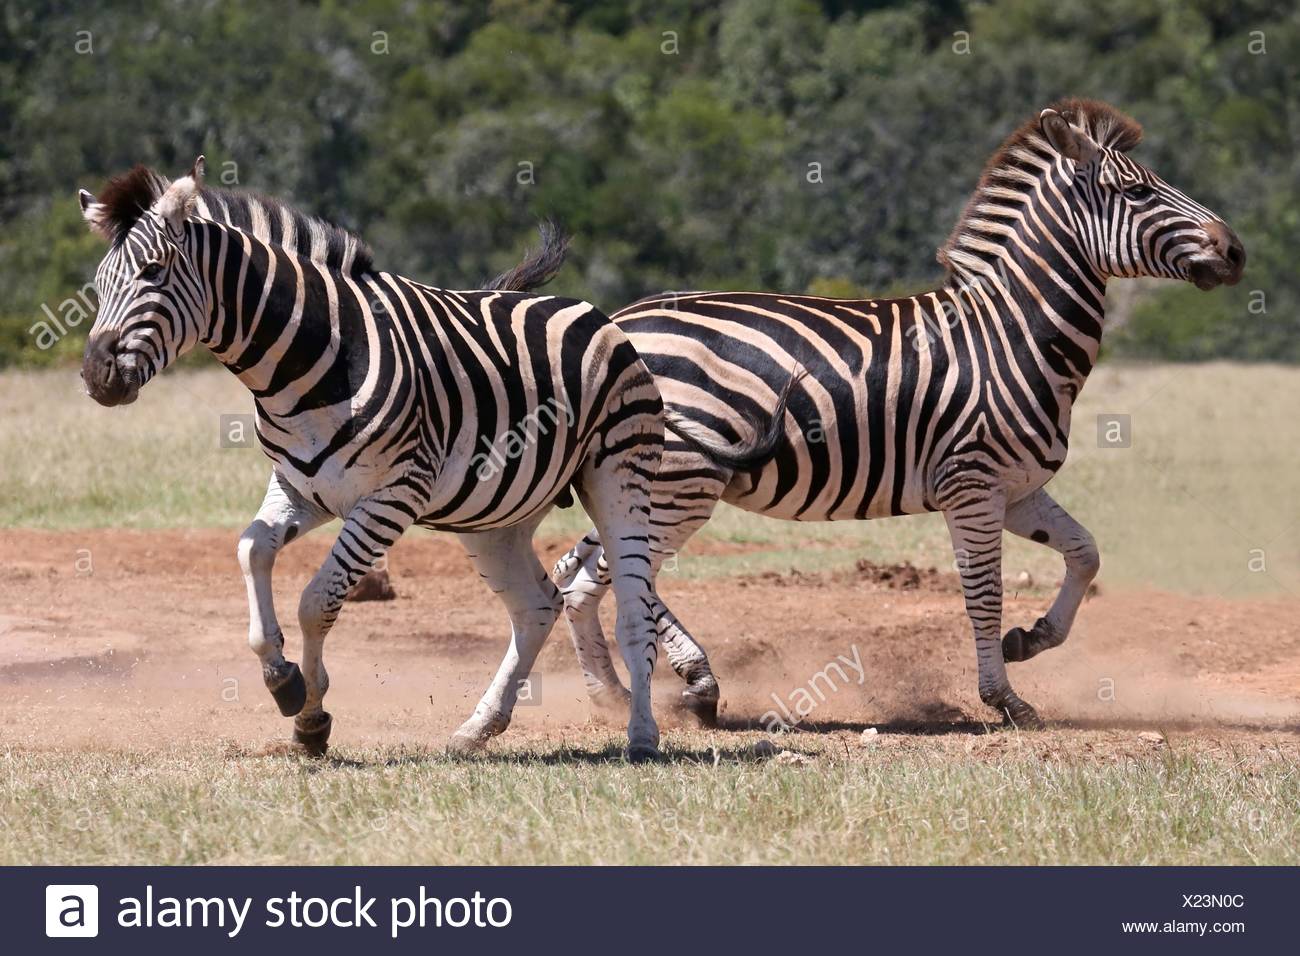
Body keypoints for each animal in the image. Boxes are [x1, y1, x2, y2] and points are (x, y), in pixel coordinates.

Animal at [78, 157, 670, 759]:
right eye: (97, 287)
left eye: (152, 272)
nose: (95, 376)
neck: (308, 366)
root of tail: (589, 311)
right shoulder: (300, 487)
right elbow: (251, 551)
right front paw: (282, 678)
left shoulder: (391, 496)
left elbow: (317, 602)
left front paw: (309, 714)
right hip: (496, 516)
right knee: (537, 606)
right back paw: (478, 727)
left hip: (618, 475)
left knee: (634, 611)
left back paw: (642, 736)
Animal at [543, 98, 1242, 723]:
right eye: (1137, 191)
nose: (1236, 250)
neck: (1011, 333)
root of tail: (615, 324)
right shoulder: (972, 483)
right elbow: (984, 594)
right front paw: (1004, 699)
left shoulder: (1015, 488)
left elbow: (1086, 554)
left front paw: (1032, 639)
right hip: (683, 480)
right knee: (615, 575)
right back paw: (682, 682)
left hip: (641, 480)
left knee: (584, 577)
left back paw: (618, 693)